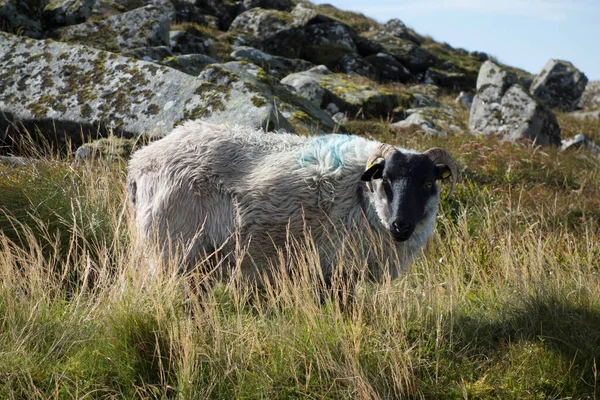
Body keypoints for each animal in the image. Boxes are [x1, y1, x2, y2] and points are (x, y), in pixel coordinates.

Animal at [125, 120, 454, 280]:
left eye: (428, 183)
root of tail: (139, 162)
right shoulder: (335, 269)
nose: (401, 225)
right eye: (385, 180)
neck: (362, 198)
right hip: (170, 248)